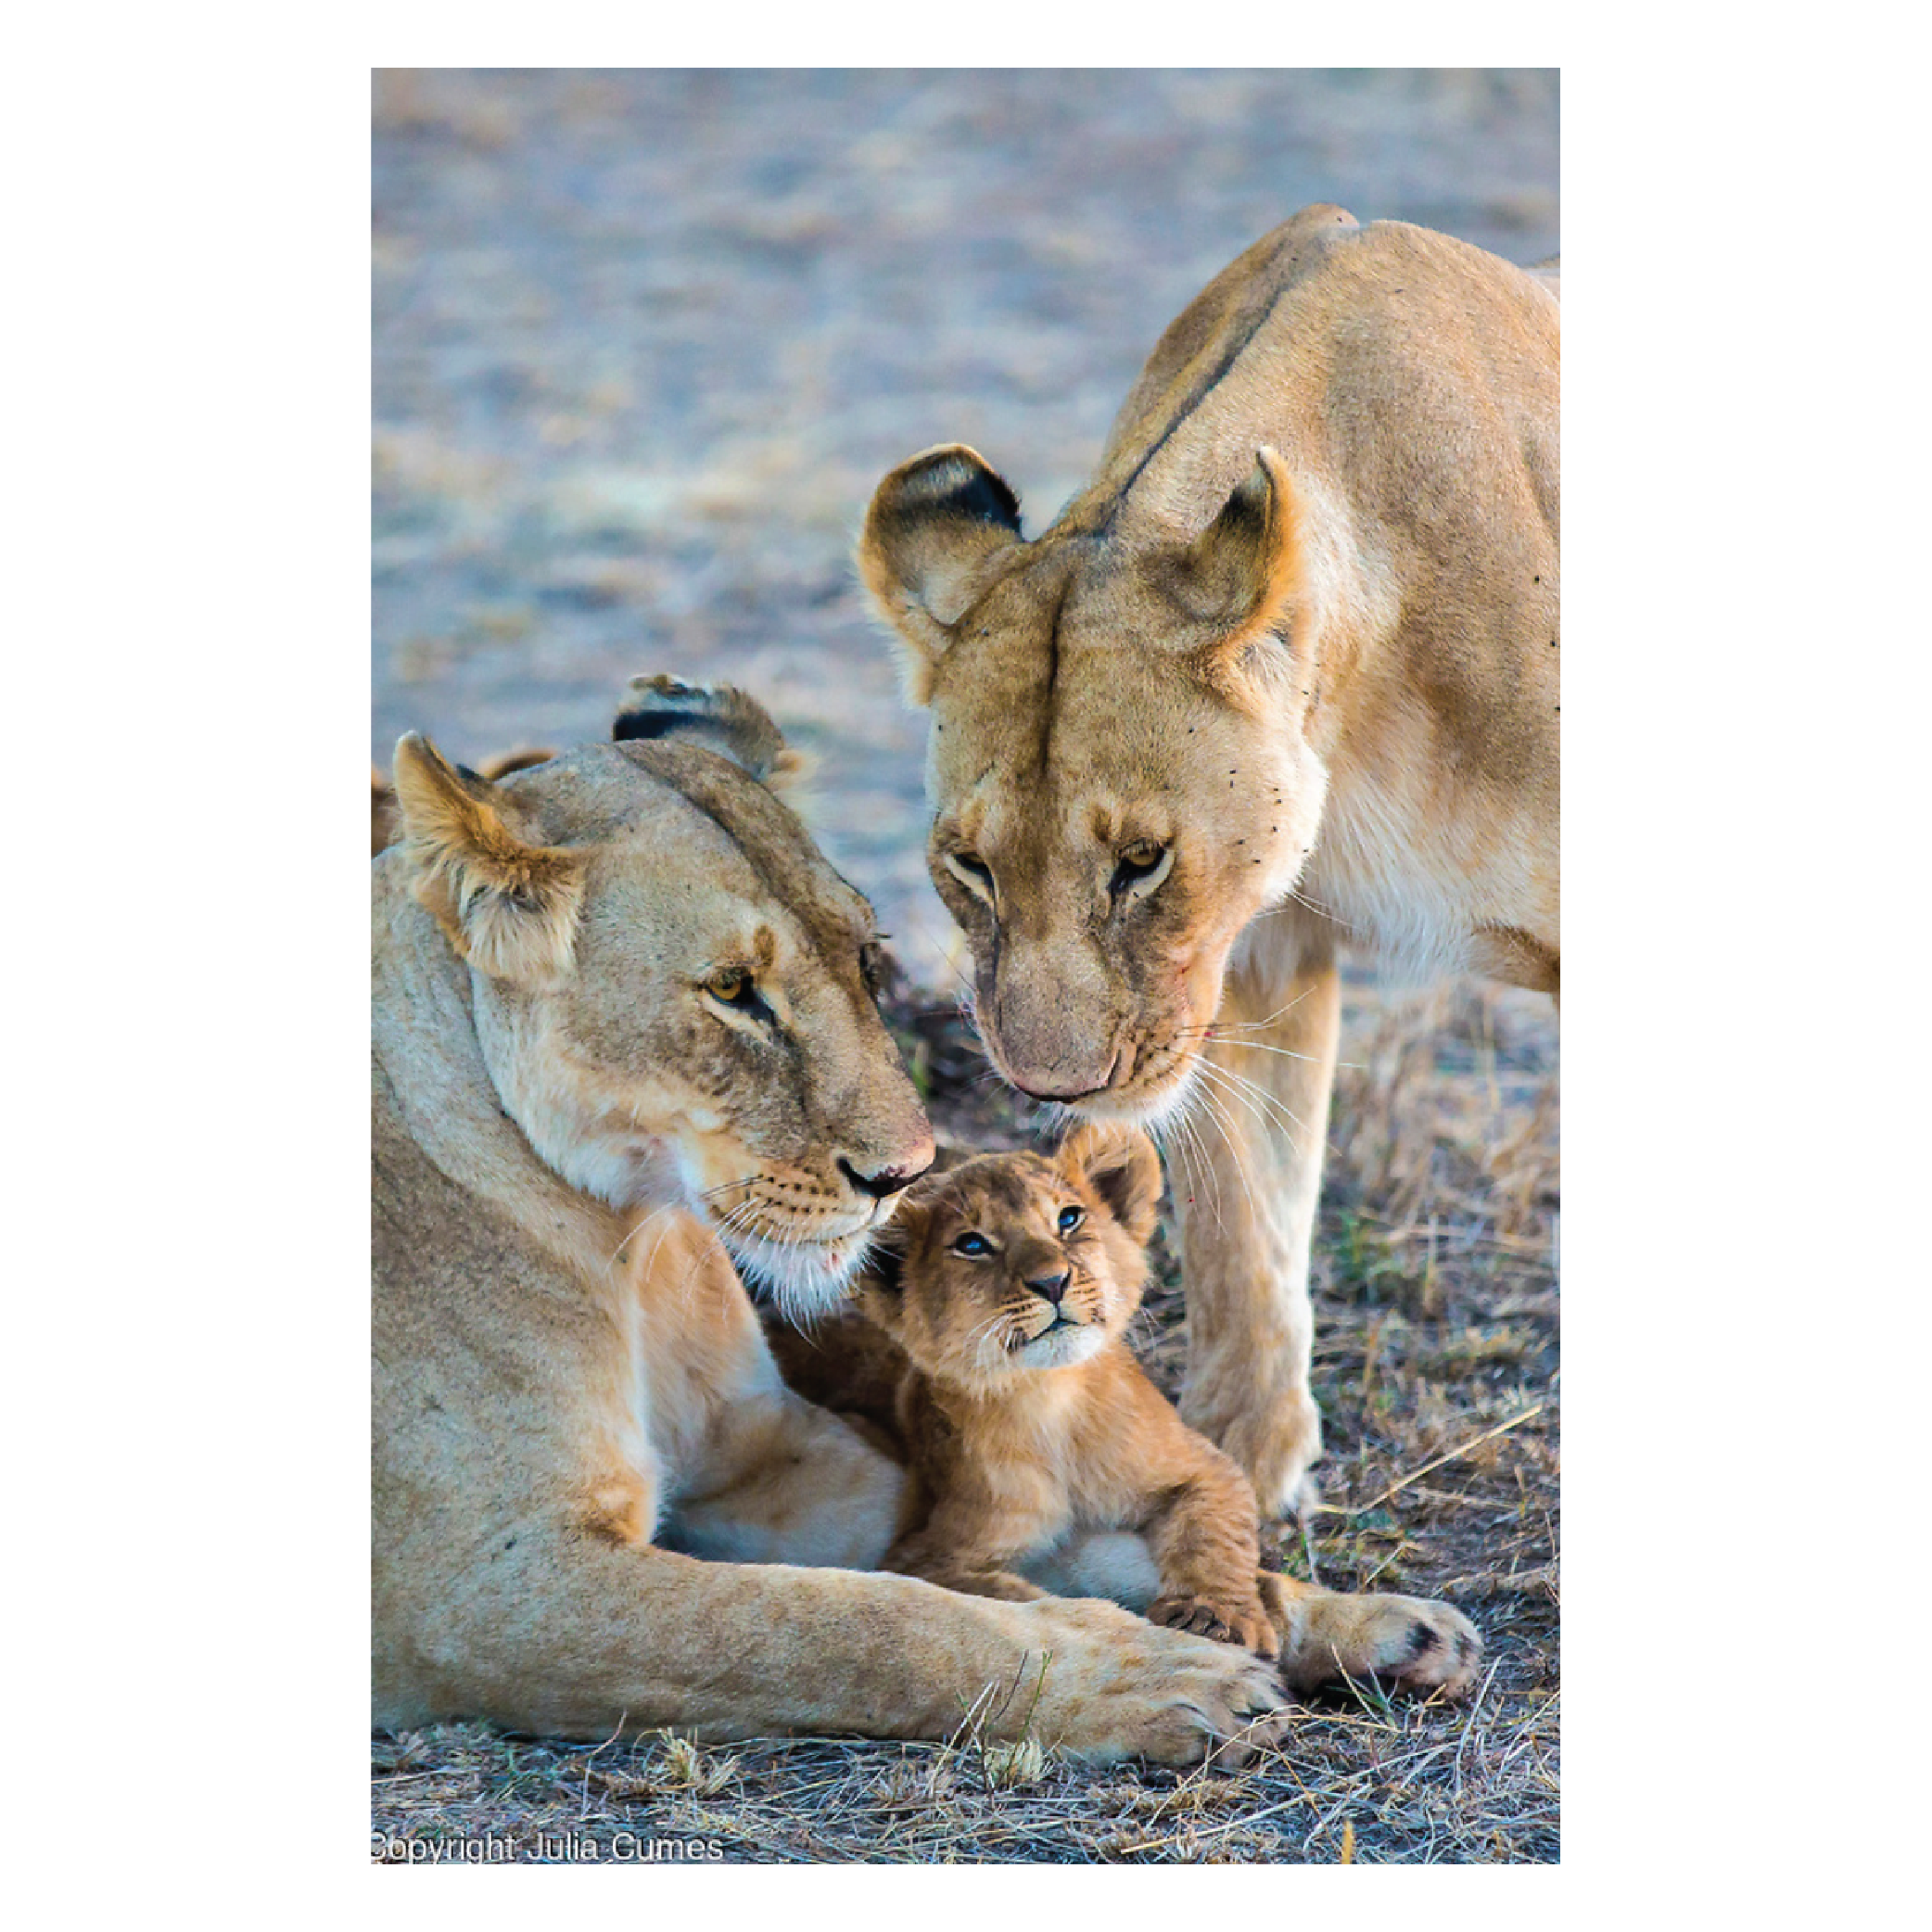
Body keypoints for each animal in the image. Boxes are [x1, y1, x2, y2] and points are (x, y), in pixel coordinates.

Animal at [372, 674, 1291, 1763]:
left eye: (864, 953)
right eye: (733, 989)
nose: (903, 1173)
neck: (633, 1241)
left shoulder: (767, 1452)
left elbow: (1038, 1548)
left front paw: (1317, 1613)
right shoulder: (485, 1586)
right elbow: (854, 1620)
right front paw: (1144, 1671)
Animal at [771, 1125, 1479, 1696]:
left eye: (1069, 1219)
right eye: (972, 1245)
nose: (1052, 1280)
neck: (1052, 1408)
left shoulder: (1202, 1466)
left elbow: (1215, 1535)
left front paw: (1216, 1619)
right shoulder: (927, 1550)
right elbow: (1003, 1598)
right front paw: (1118, 1628)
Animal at [858, 207, 1558, 1517]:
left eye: (1140, 861)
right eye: (969, 867)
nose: (1052, 1087)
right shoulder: (1249, 946)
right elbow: (1245, 1220)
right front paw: (1240, 1449)